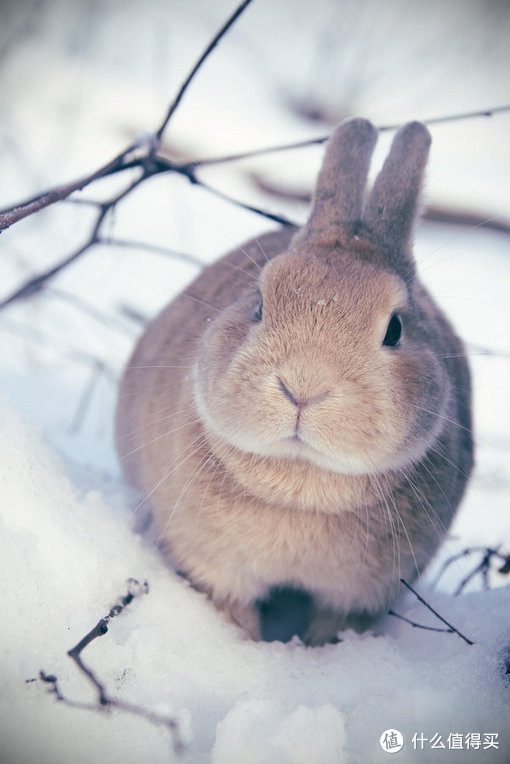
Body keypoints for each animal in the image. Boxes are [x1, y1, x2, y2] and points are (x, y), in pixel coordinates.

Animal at [115, 119, 474, 644]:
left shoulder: (358, 598)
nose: (304, 388)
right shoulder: (216, 570)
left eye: (395, 329)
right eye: (259, 305)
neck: (301, 484)